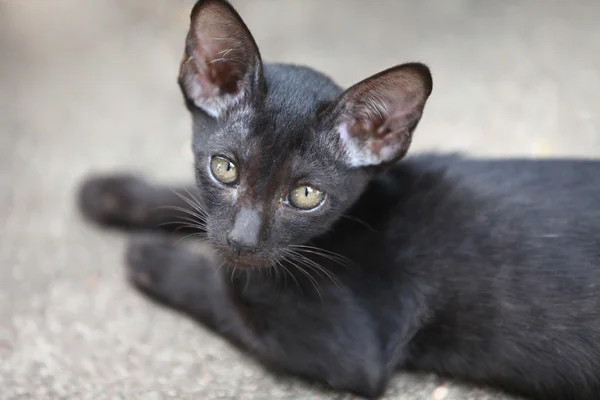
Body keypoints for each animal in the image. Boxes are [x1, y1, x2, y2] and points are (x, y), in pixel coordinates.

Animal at [77, 1, 600, 398]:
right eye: (224, 168)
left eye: (305, 195)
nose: (242, 240)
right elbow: (193, 206)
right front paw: (111, 192)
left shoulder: (347, 349)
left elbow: (222, 288)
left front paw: (151, 253)